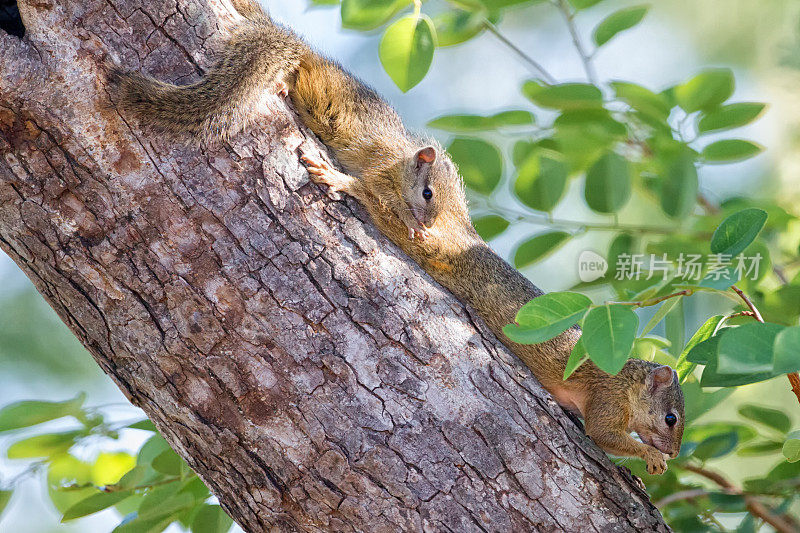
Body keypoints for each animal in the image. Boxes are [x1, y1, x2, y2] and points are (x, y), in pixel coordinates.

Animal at [106, 0, 684, 476]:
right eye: (673, 418)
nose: (675, 452)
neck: (626, 379)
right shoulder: (605, 399)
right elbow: (606, 435)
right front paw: (649, 458)